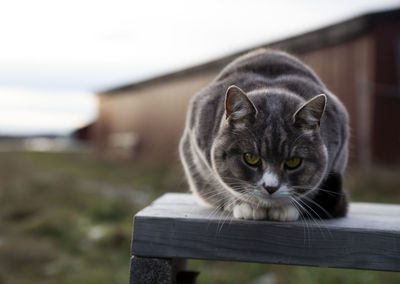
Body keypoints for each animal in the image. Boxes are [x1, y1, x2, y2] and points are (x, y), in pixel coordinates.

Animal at [180, 48, 348, 222]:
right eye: (250, 158)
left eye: (293, 162)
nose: (270, 187)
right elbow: (221, 183)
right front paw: (246, 207)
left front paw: (286, 209)